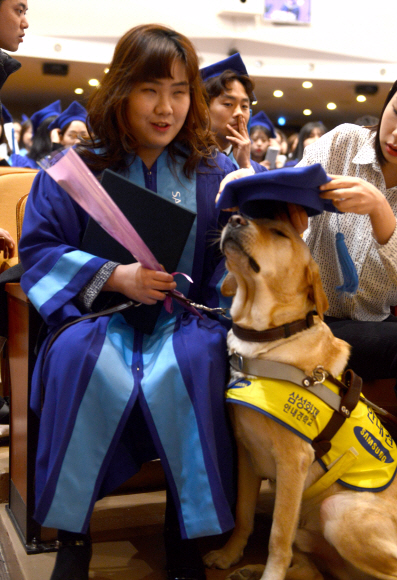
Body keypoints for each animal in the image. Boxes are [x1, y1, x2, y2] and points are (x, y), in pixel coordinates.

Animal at [206, 215, 396, 576]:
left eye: (280, 233)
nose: (234, 218)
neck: (269, 338)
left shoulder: (293, 462)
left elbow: (278, 535)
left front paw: (271, 574)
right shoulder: (246, 452)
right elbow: (243, 514)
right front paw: (229, 554)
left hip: (337, 510)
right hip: (313, 536)